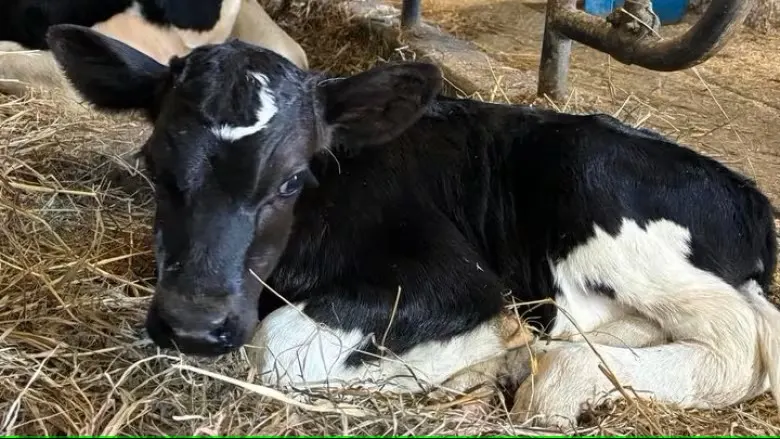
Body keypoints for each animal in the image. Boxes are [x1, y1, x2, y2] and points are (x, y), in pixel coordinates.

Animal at [44, 24, 780, 430]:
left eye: (291, 179)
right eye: (155, 165)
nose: (195, 325)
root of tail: (749, 197)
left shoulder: (457, 279)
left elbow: (273, 344)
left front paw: (468, 355)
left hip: (599, 188)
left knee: (739, 340)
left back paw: (556, 376)